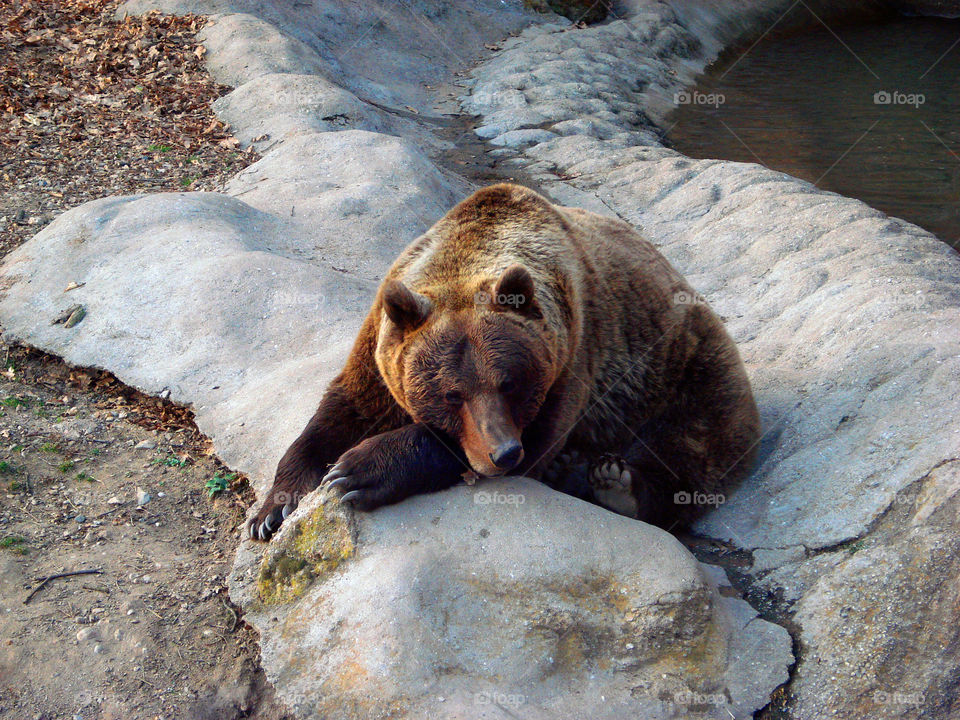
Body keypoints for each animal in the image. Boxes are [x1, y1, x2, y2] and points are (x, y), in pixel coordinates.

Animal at [247, 183, 759, 541]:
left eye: (510, 383)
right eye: (451, 394)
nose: (504, 451)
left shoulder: (571, 361)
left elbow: (526, 440)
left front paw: (358, 470)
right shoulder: (381, 346)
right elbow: (343, 409)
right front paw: (272, 510)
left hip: (683, 371)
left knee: (691, 447)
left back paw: (620, 486)